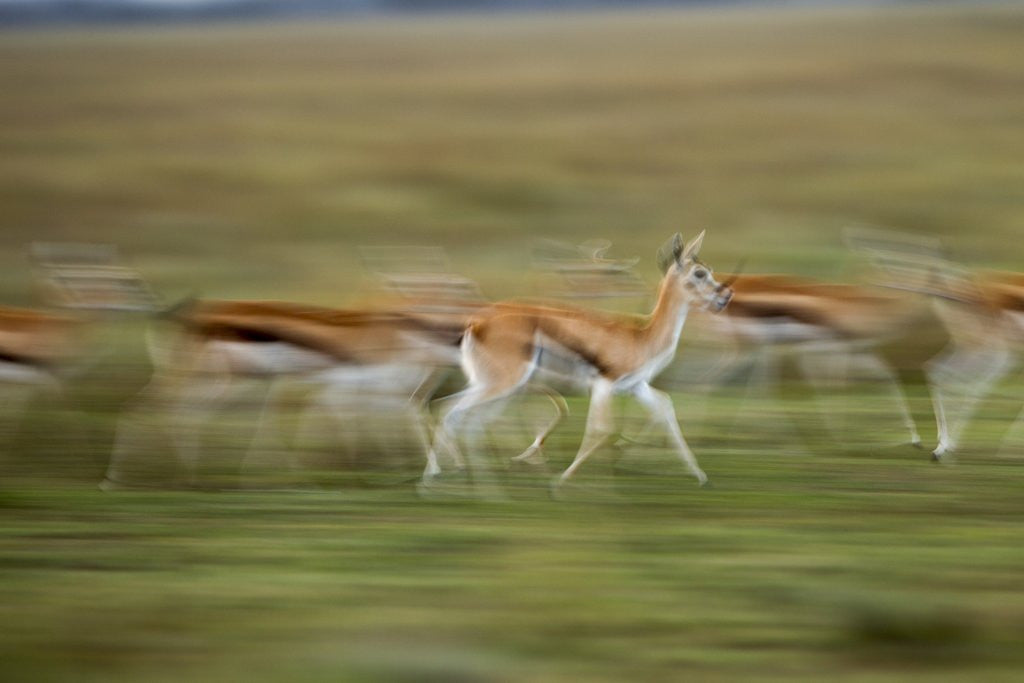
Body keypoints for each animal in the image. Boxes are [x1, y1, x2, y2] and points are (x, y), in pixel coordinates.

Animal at [424, 231, 733, 494]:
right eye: (700, 273)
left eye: (710, 269)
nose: (725, 296)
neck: (642, 336)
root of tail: (476, 322)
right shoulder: (604, 385)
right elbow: (601, 430)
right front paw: (563, 483)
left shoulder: (635, 387)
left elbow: (665, 408)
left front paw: (701, 477)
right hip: (503, 383)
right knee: (450, 410)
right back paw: (441, 478)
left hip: (496, 385)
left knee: (458, 415)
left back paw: (461, 476)